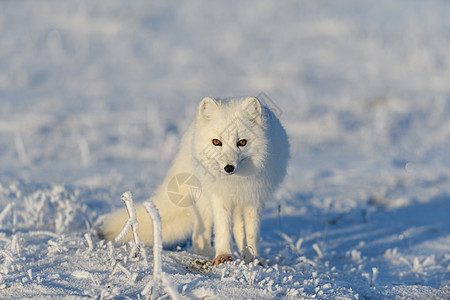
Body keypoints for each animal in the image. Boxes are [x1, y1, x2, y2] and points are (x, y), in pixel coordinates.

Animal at [99, 96, 290, 264]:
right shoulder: (219, 197)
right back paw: (207, 255)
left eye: (242, 142)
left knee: (238, 229)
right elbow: (222, 229)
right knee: (198, 236)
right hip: (203, 203)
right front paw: (223, 256)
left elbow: (251, 232)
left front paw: (254, 259)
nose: (228, 168)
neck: (235, 183)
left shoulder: (255, 198)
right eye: (216, 142)